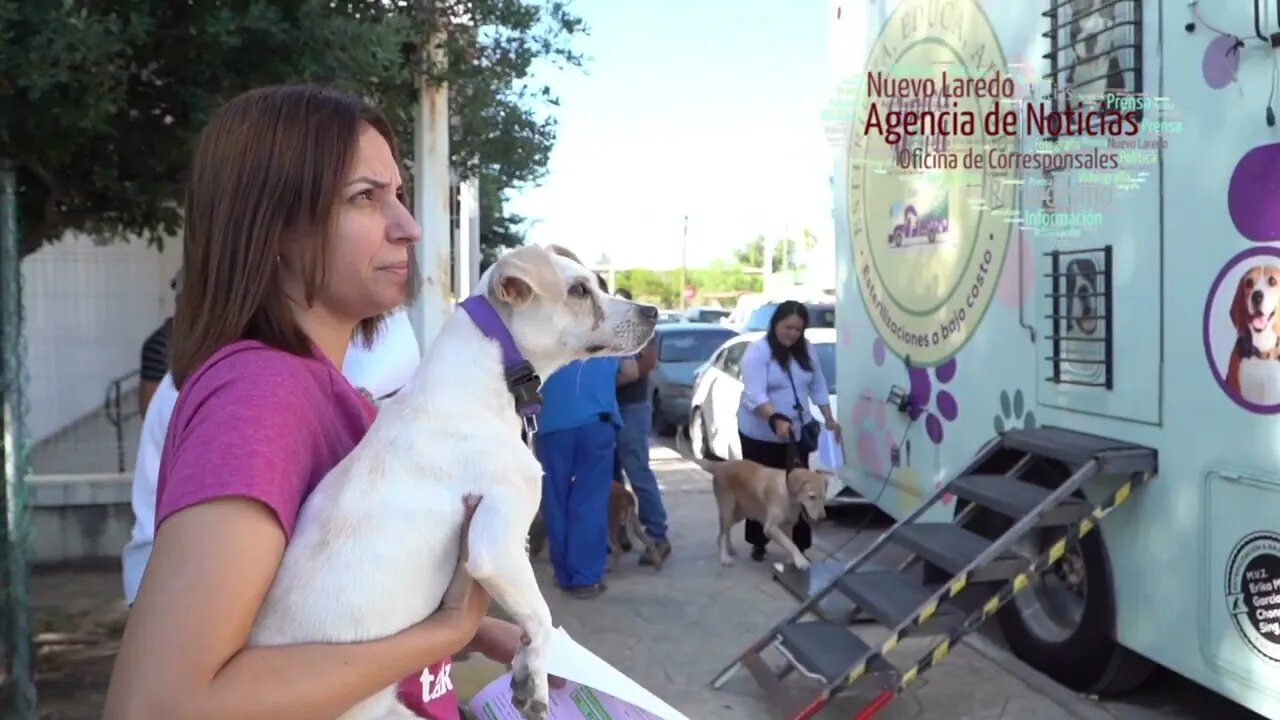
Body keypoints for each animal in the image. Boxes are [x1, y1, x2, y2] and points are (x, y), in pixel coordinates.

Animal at [247, 243, 660, 712]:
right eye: (578, 290)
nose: (653, 311)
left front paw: (523, 666)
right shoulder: (494, 548)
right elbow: (540, 614)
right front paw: (536, 680)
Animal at [691, 456, 829, 568]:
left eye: (823, 497)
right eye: (812, 497)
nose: (822, 517)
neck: (789, 496)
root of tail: (719, 465)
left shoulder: (788, 526)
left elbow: (790, 542)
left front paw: (793, 558)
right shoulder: (770, 528)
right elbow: (791, 544)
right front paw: (800, 561)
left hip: (738, 514)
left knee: (723, 532)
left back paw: (728, 548)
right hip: (728, 509)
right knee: (724, 533)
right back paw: (725, 557)